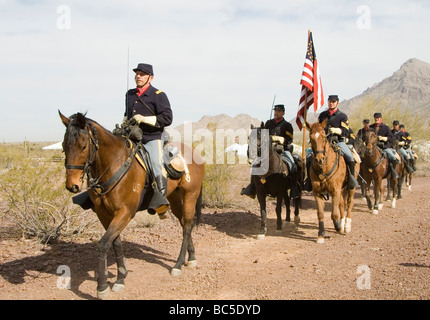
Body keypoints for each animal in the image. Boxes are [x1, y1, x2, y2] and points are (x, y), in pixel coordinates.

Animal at [58, 111, 205, 298]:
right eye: (64, 145)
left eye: (83, 146)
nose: (72, 185)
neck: (114, 164)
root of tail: (196, 154)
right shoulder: (104, 213)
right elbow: (115, 243)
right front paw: (122, 276)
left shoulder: (125, 212)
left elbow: (103, 244)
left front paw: (103, 286)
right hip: (174, 198)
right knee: (185, 223)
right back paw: (191, 257)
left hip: (190, 195)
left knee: (187, 225)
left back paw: (178, 265)